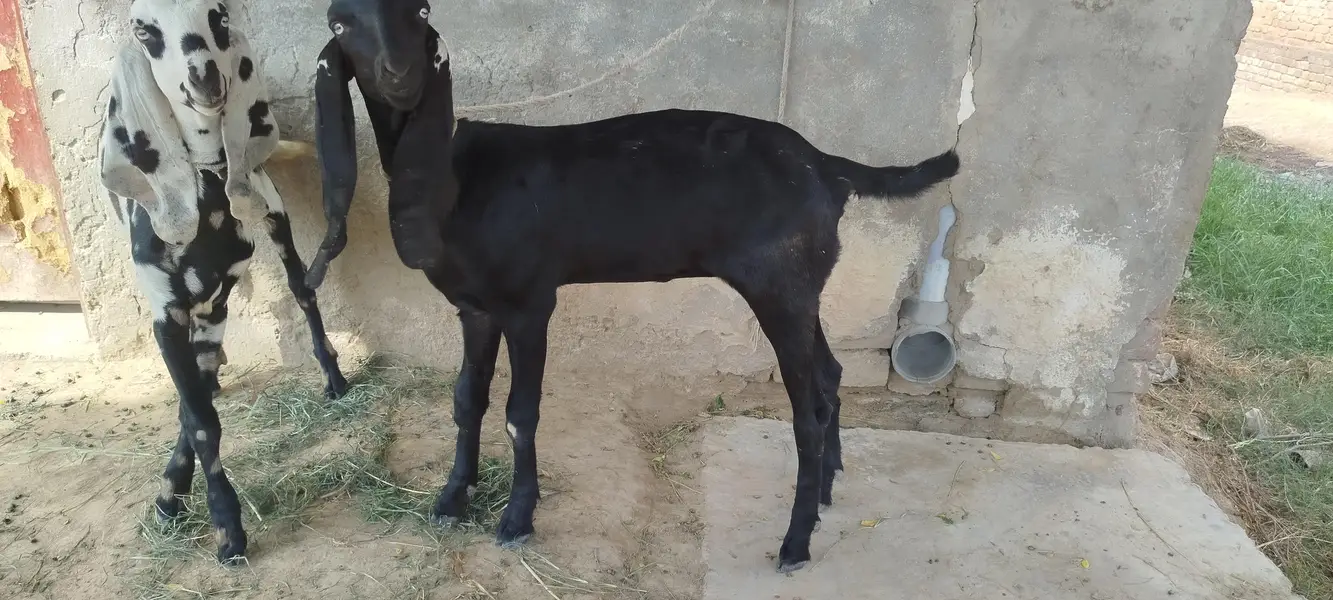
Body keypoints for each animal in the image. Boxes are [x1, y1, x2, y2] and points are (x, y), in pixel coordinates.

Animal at [98, 0, 349, 564]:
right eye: (143, 29)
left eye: (220, 16)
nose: (204, 76)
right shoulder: (171, 313)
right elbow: (197, 414)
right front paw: (180, 500)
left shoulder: (218, 300)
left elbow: (198, 414)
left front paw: (221, 523)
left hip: (273, 215)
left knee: (302, 290)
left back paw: (334, 377)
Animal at [305, 0, 959, 573]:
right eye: (339, 22)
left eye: (420, 12)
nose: (398, 75)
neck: (454, 176)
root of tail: (827, 166)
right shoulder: (475, 309)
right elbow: (467, 400)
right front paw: (449, 500)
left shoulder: (528, 303)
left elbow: (521, 413)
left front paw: (516, 520)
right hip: (801, 286)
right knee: (830, 374)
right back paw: (824, 493)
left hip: (779, 286)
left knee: (811, 413)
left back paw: (795, 543)